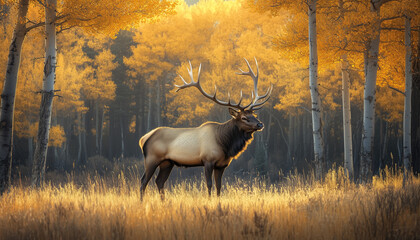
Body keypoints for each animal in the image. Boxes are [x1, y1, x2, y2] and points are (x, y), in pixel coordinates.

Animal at [139, 58, 274, 199]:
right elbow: (209, 185)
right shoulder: (208, 160)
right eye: (243, 118)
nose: (260, 124)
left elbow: (219, 187)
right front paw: (209, 200)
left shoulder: (222, 165)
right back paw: (142, 201)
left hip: (167, 163)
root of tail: (143, 138)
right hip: (152, 158)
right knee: (143, 181)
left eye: (254, 115)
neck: (224, 144)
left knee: (159, 181)